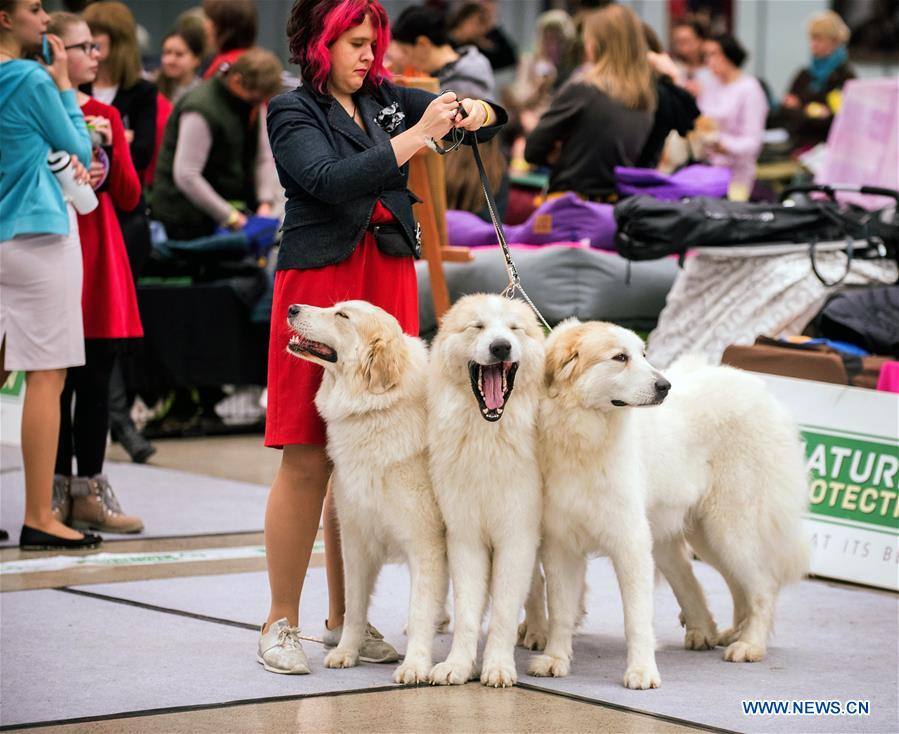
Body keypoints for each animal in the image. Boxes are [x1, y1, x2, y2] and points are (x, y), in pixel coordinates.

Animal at [286, 300, 448, 688]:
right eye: (334, 307)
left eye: (342, 316)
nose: (292, 307)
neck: (376, 410)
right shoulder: (357, 540)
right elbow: (354, 606)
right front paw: (347, 651)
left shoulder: (425, 543)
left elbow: (419, 607)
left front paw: (415, 665)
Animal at [426, 294, 544, 688]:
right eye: (477, 327)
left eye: (513, 329)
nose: (500, 347)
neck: (488, 438)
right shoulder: (465, 538)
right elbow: (467, 610)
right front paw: (458, 666)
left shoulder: (517, 536)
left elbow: (505, 609)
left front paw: (498, 667)